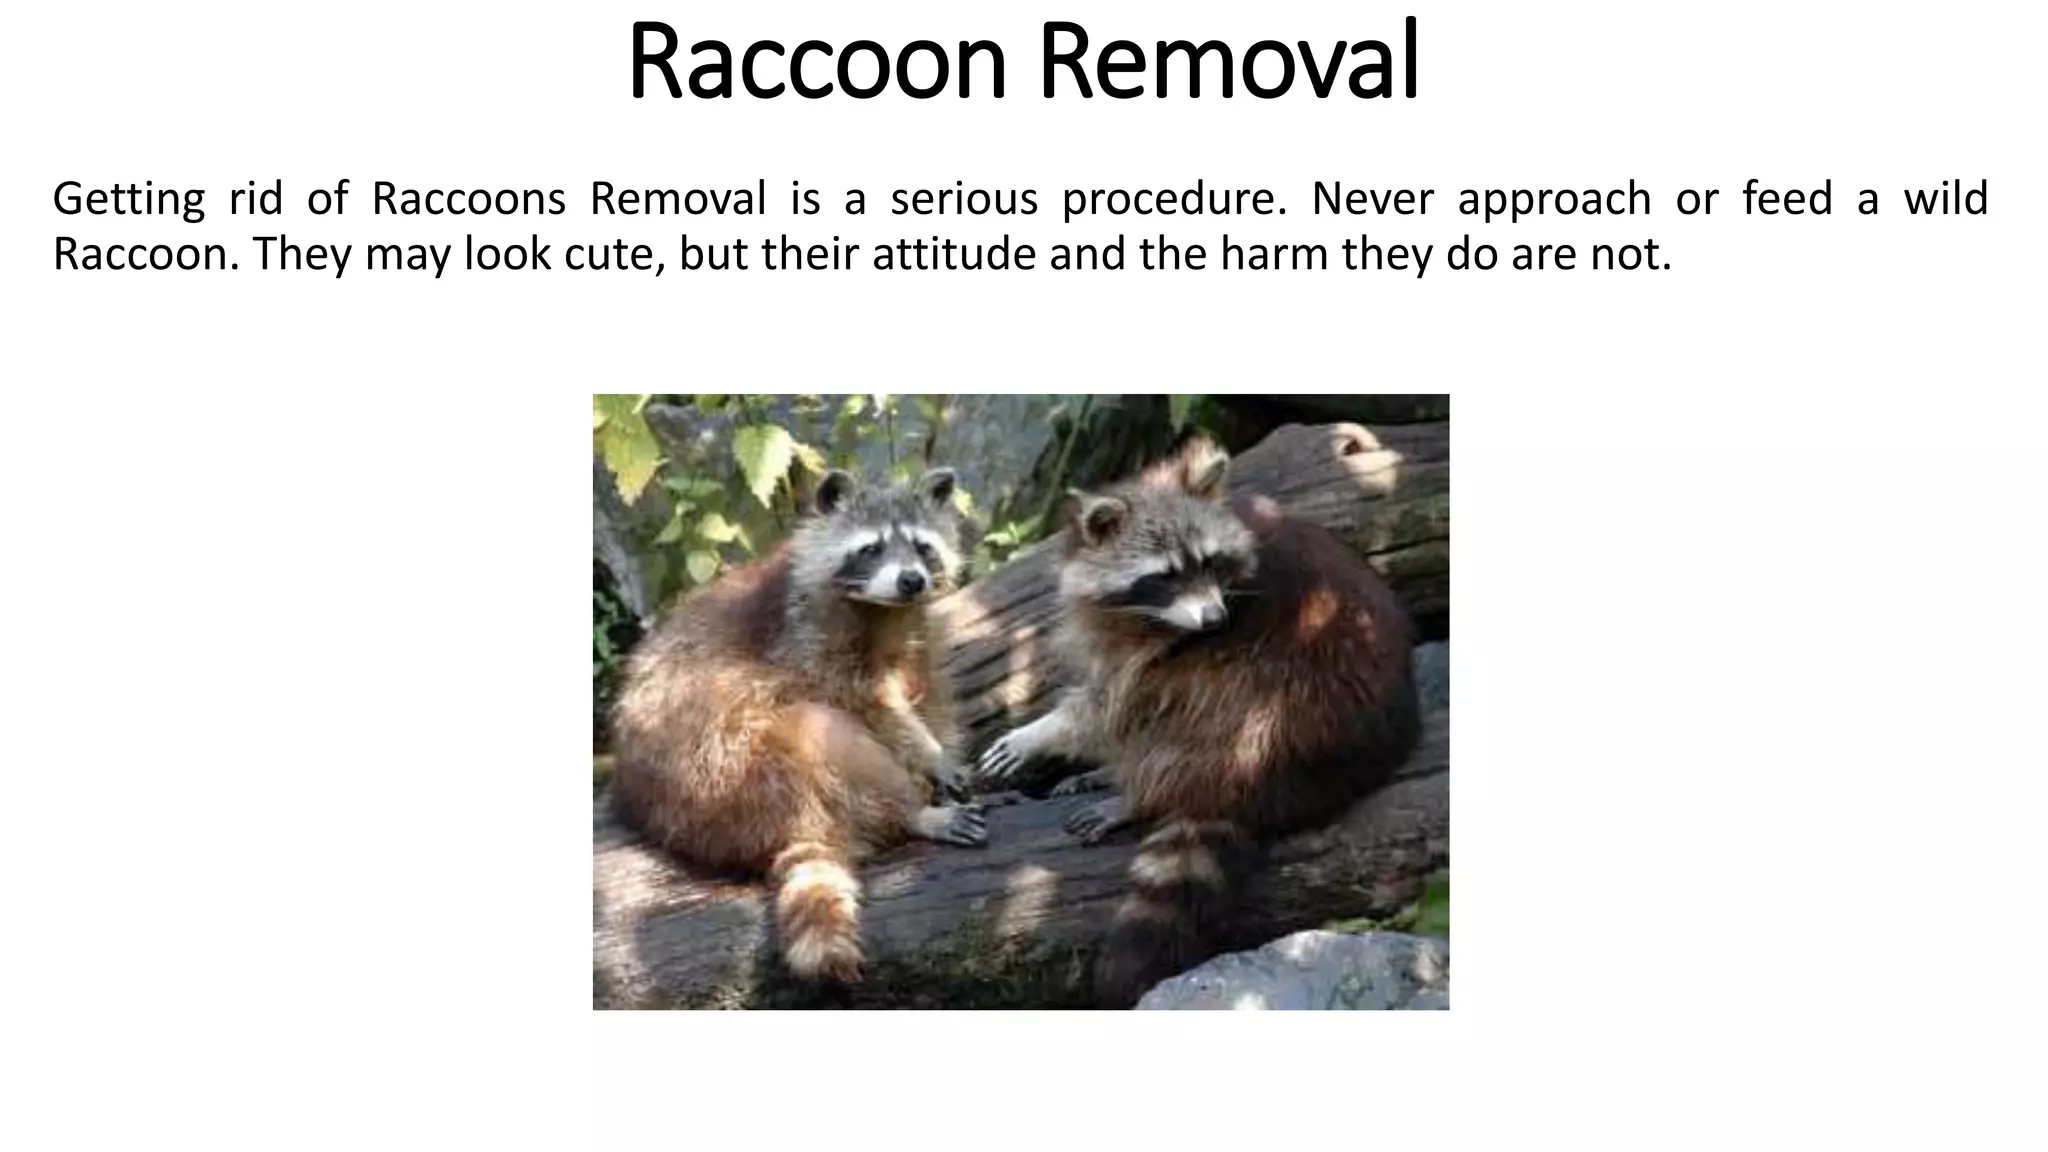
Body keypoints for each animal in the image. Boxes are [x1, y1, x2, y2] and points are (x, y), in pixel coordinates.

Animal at [610, 466, 985, 984]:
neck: (882, 609)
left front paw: (941, 754)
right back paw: (910, 811)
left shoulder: (914, 628)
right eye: (871, 548)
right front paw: (929, 756)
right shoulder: (807, 634)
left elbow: (929, 682)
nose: (911, 580)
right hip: (727, 772)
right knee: (823, 731)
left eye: (922, 546)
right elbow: (863, 703)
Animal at [976, 437, 1421, 1004]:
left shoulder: (1188, 636)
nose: (1214, 619)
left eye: (1208, 562)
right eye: (1164, 576)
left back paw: (1141, 794)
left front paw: (1045, 734)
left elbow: (1115, 700)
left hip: (1286, 704)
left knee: (1193, 706)